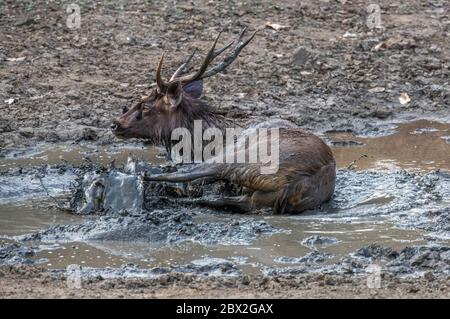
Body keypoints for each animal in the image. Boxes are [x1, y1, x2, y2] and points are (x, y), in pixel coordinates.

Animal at [110, 28, 336, 215]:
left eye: (146, 106)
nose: (115, 124)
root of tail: (297, 183)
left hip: (244, 161)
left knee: (187, 174)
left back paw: (134, 173)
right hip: (254, 198)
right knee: (220, 199)